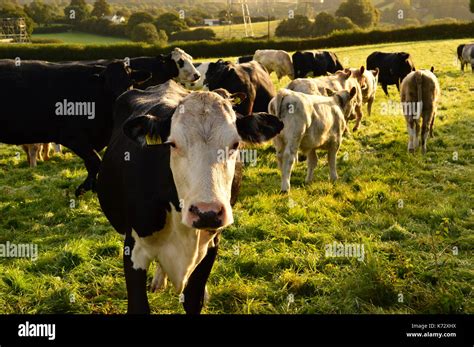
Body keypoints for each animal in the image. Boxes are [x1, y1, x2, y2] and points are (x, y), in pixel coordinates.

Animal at [0, 59, 150, 196]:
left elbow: (90, 163)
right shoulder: (73, 138)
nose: (120, 102)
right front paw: (84, 188)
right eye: (107, 85)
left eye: (130, 84)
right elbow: (95, 161)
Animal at [95, 80, 282, 314]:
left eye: (236, 145)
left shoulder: (211, 246)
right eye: (172, 144)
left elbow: (194, 299)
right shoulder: (133, 249)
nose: (207, 212)